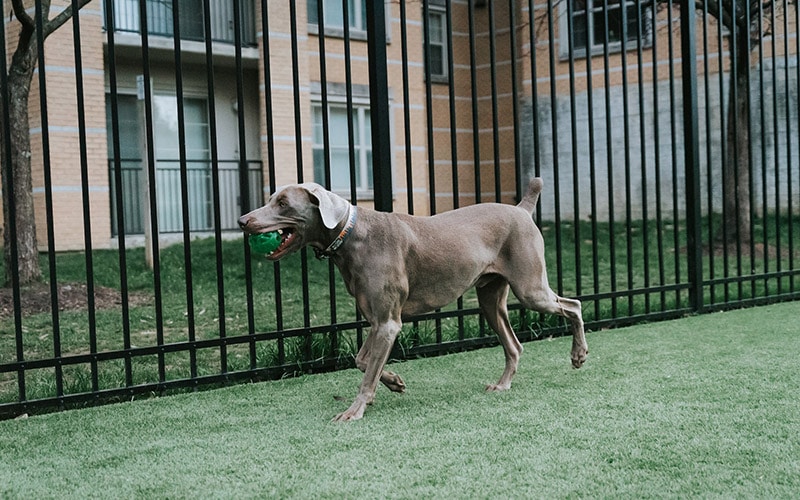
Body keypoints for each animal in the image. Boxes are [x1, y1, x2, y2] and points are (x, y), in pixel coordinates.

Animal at [239, 180, 588, 422]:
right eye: (271, 199)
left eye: (283, 202)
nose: (243, 220)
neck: (351, 236)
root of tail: (521, 208)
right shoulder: (378, 320)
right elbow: (362, 360)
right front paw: (394, 382)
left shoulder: (388, 323)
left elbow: (366, 373)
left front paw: (354, 411)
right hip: (491, 298)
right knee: (514, 345)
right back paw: (502, 385)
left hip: (530, 288)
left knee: (573, 306)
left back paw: (578, 355)